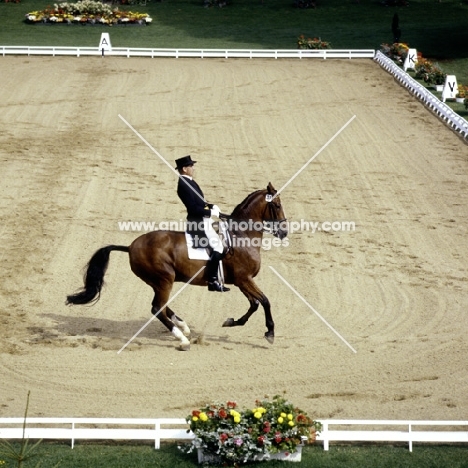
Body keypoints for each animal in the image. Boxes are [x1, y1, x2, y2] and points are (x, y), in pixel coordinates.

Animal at [65, 181, 286, 350]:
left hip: (158, 281)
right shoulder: (243, 279)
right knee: (157, 308)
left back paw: (183, 326)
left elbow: (255, 304)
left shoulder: (242, 281)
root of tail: (130, 246)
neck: (241, 236)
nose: (284, 232)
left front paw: (232, 322)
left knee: (161, 306)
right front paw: (270, 332)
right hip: (165, 280)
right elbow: (265, 301)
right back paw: (183, 339)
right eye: (276, 205)